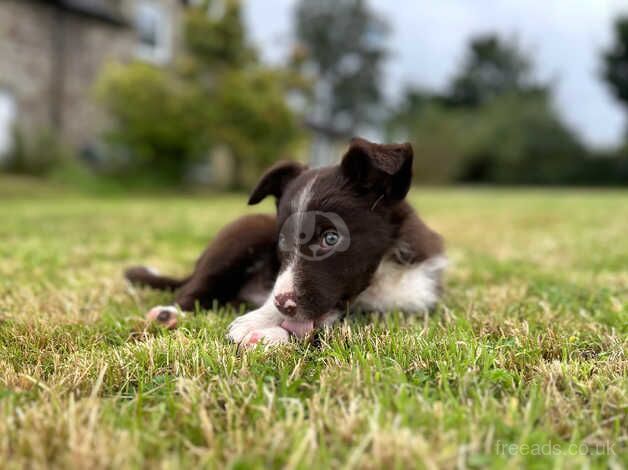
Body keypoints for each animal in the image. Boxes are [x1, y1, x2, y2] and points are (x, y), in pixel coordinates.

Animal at [124, 136, 446, 346]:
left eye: (331, 238)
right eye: (283, 240)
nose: (282, 303)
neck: (380, 275)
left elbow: (323, 325)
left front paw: (267, 333)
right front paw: (258, 322)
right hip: (237, 241)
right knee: (193, 290)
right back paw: (168, 314)